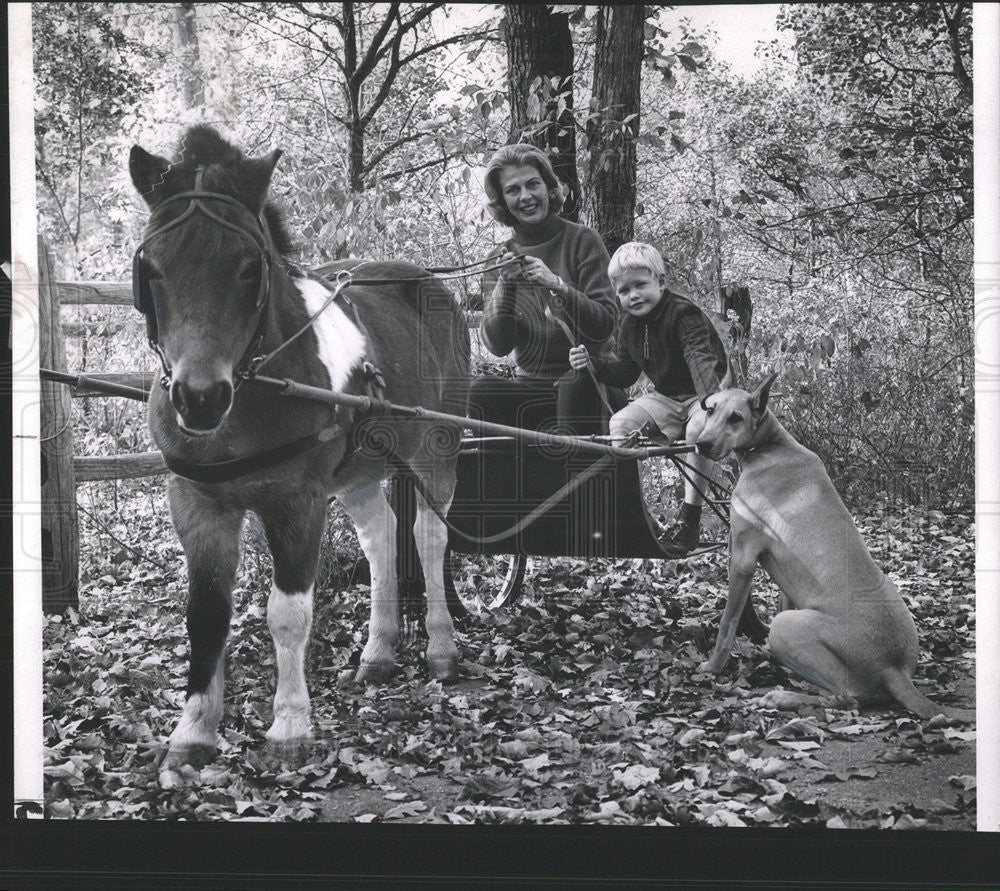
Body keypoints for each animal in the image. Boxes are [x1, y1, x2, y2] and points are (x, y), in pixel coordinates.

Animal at [131, 127, 470, 772]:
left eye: (248, 268)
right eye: (152, 268)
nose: (200, 398)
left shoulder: (297, 503)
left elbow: (288, 614)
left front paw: (290, 726)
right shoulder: (197, 504)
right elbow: (205, 613)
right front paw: (194, 731)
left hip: (436, 448)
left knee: (428, 535)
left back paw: (440, 649)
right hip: (361, 469)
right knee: (381, 537)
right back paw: (379, 652)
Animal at [696, 366, 968, 720]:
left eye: (735, 418)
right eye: (711, 410)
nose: (701, 444)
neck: (769, 446)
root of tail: (896, 670)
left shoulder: (741, 560)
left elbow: (727, 625)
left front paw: (713, 668)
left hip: (787, 629)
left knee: (848, 697)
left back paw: (783, 697)